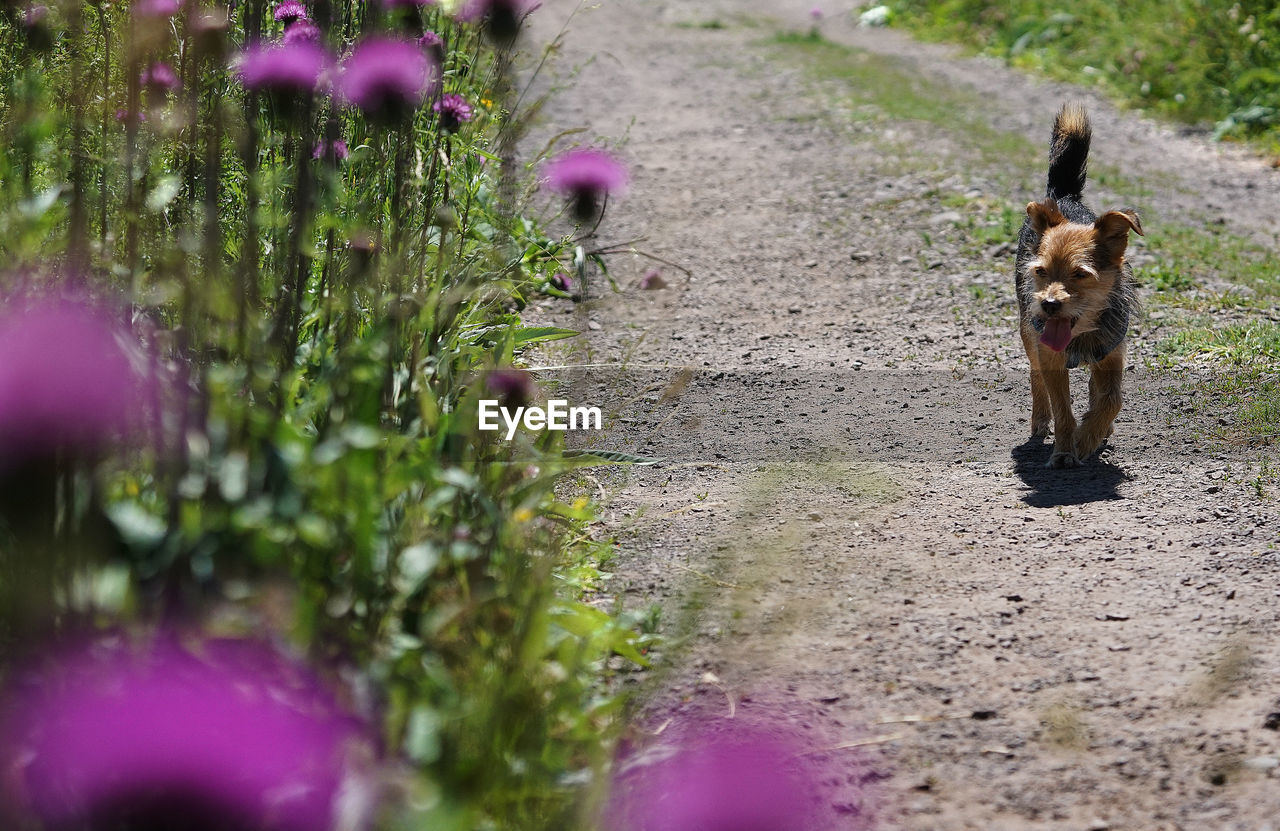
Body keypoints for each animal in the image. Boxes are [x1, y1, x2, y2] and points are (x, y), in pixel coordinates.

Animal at [1013, 101, 1146, 466]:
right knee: (1036, 377)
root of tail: (1063, 197)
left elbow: (1112, 400)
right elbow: (1063, 409)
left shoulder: (1112, 355)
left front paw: (1089, 437)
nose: (1049, 304)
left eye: (1081, 274)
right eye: (1041, 272)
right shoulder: (1051, 358)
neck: (1079, 332)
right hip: (1028, 333)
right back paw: (1040, 421)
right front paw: (1065, 449)